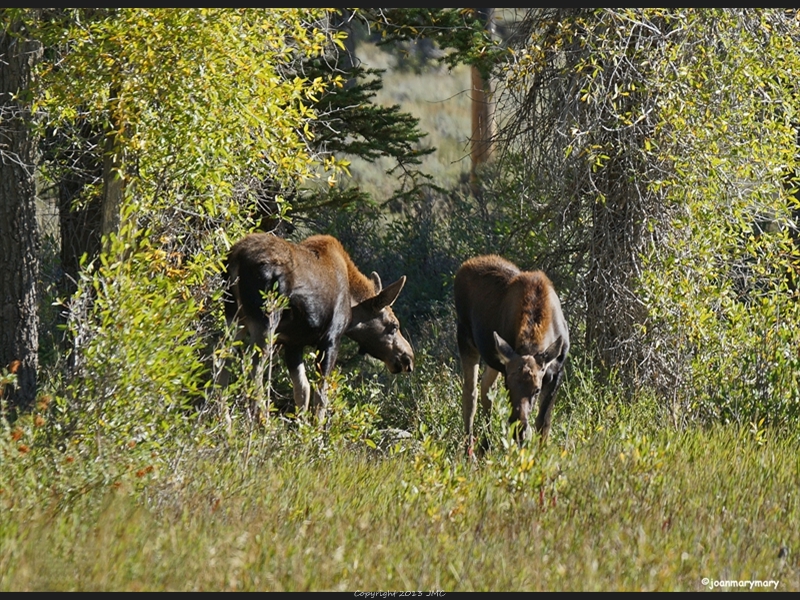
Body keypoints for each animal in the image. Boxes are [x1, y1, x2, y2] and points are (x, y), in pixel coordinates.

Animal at [222, 232, 416, 420]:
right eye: (393, 326)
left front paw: (301, 426)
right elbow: (321, 393)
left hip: (234, 315)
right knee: (252, 364)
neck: (353, 306)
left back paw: (225, 419)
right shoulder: (330, 338)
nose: (408, 358)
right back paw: (259, 421)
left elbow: (303, 388)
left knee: (223, 356)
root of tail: (235, 257)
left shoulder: (292, 342)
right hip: (266, 318)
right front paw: (316, 429)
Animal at [456, 253, 568, 454]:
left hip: (491, 356)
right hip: (465, 338)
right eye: (508, 386)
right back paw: (471, 453)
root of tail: (465, 265)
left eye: (536, 389)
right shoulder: (506, 367)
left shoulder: (556, 373)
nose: (520, 430)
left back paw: (486, 444)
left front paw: (541, 454)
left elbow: (543, 422)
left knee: (485, 387)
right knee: (471, 393)